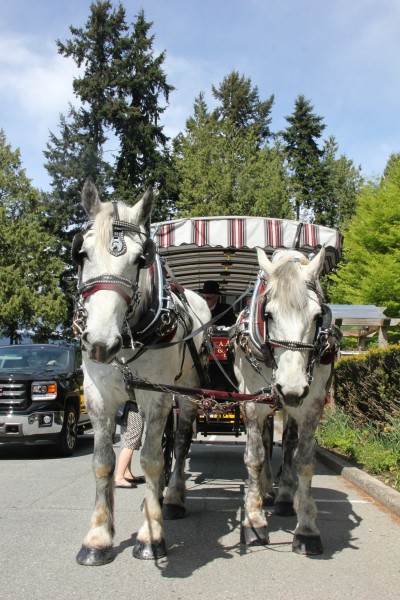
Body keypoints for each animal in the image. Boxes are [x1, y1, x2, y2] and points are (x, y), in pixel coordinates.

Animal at [72, 177, 209, 564]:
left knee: (179, 441)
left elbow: (151, 459)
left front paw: (151, 535)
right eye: (82, 254)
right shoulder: (97, 395)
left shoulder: (158, 395)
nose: (101, 342)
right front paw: (98, 538)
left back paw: (172, 498)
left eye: (139, 259)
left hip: (186, 392)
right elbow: (102, 461)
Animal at [231, 246, 338, 556]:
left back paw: (283, 497)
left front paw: (307, 528)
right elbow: (255, 457)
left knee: (287, 442)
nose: (290, 388)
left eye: (317, 316)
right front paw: (254, 522)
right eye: (267, 314)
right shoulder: (251, 402)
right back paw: (266, 490)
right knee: (267, 442)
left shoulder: (312, 404)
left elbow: (304, 461)